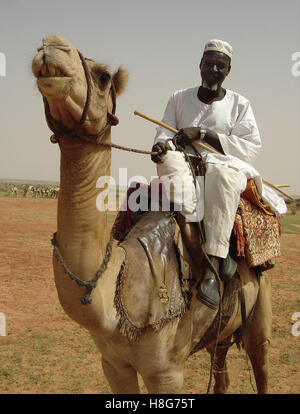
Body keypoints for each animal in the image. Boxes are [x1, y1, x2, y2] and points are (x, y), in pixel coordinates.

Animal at [32, 34, 272, 392]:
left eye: (103, 76)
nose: (51, 45)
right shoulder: (113, 363)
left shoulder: (166, 371)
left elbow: (244, 139)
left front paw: (191, 134)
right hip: (222, 332)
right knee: (221, 371)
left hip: (260, 308)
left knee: (261, 362)